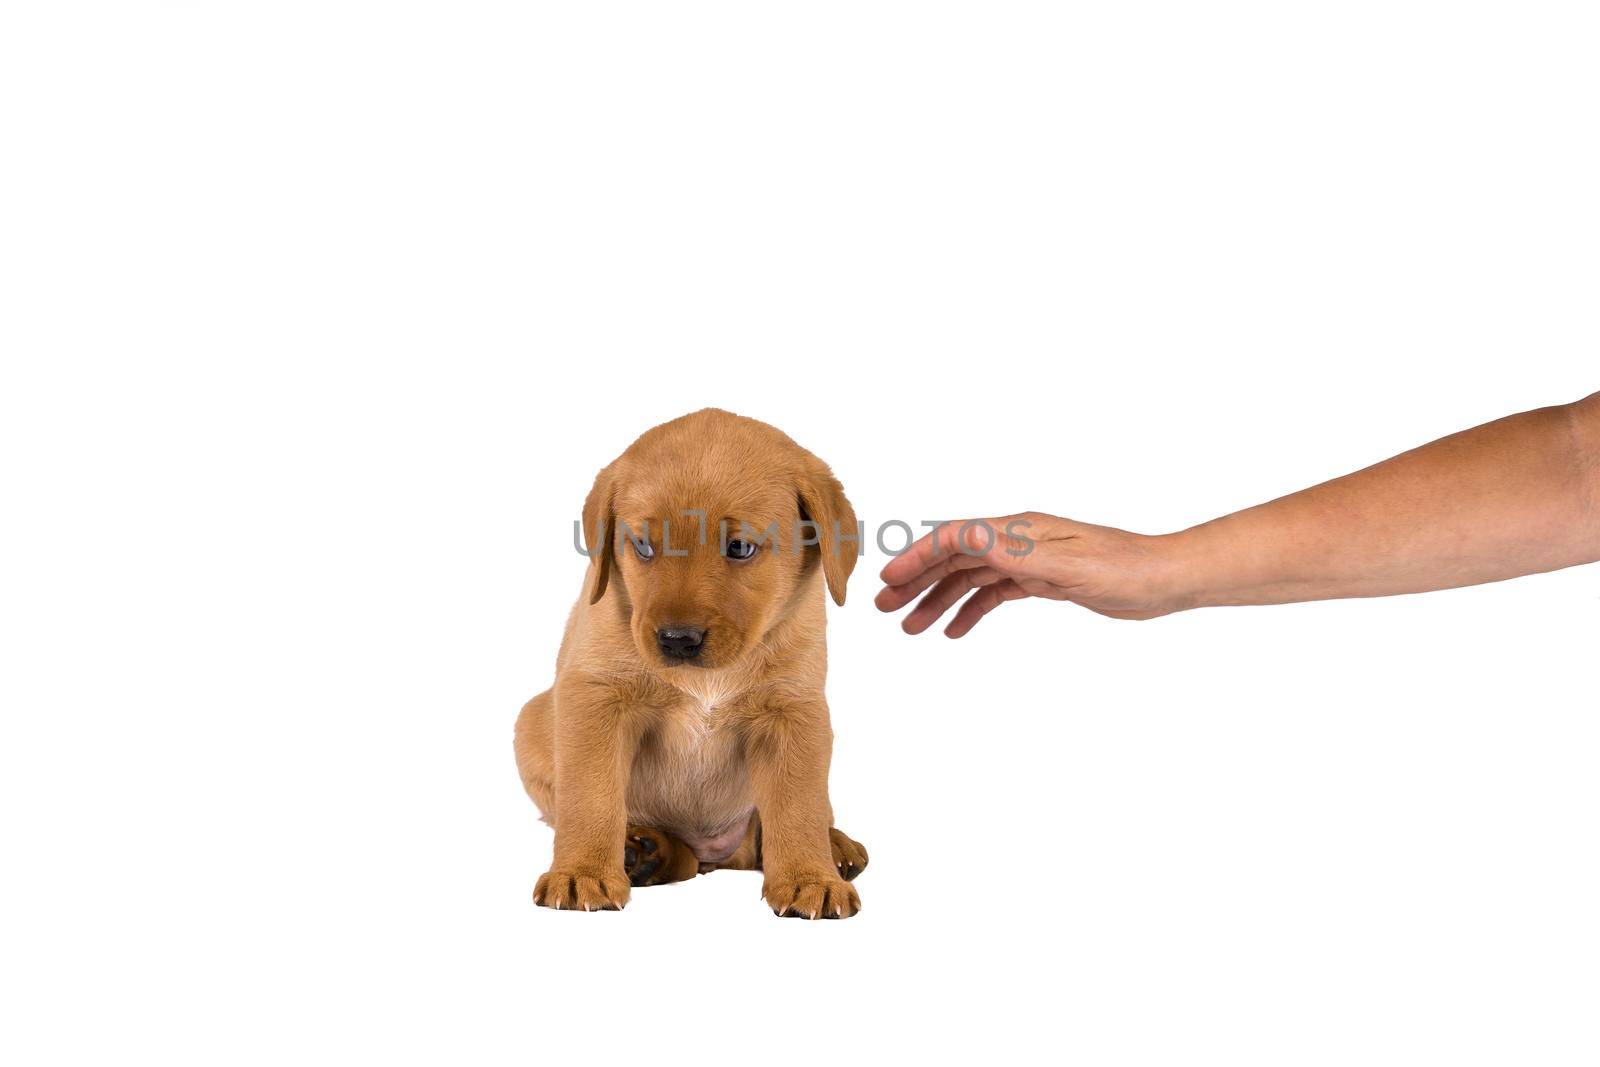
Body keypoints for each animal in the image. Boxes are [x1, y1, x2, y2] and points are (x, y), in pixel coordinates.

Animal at [515, 406, 870, 921]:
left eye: (740, 548)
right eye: (643, 546)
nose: (677, 641)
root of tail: (714, 855)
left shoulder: (795, 712)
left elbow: (798, 807)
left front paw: (810, 878)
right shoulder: (594, 698)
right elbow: (591, 798)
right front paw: (582, 872)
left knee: (778, 831)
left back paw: (836, 847)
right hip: (531, 721)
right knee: (677, 855)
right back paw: (643, 851)